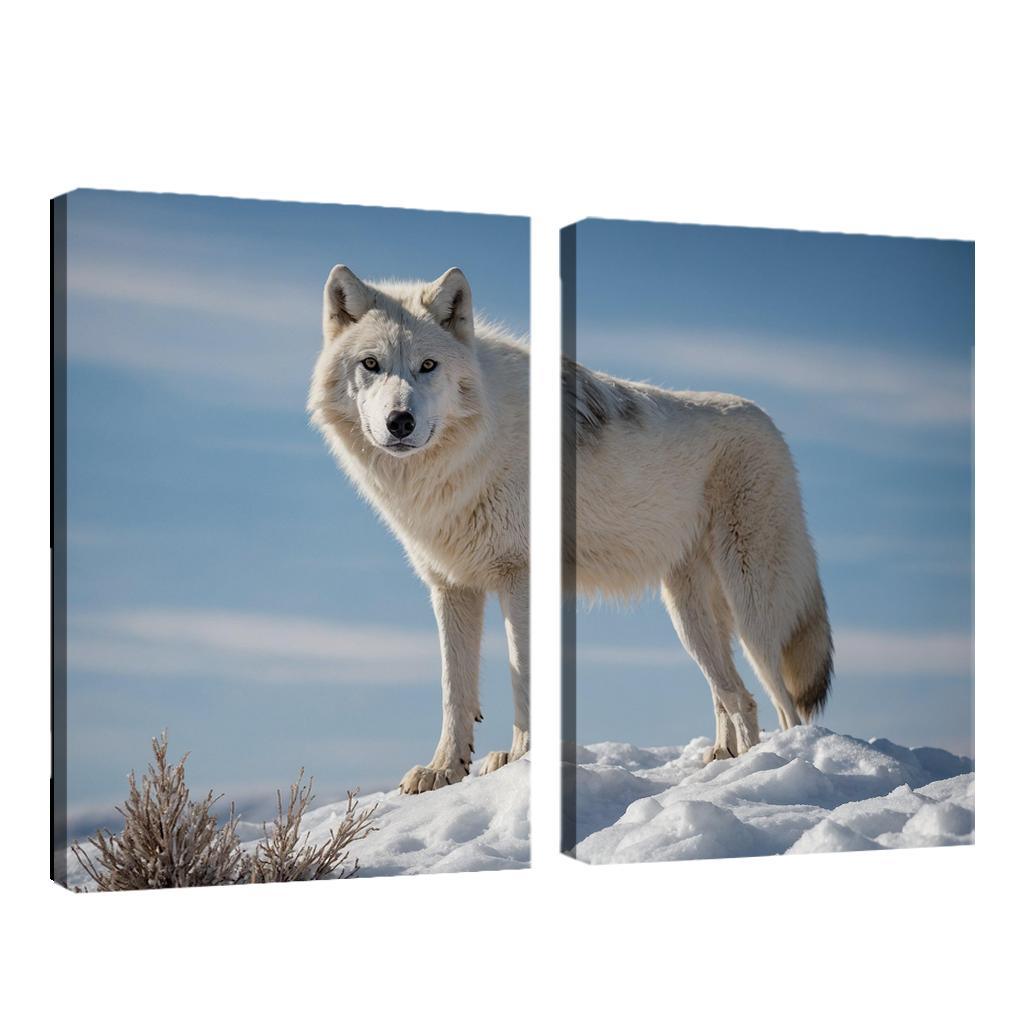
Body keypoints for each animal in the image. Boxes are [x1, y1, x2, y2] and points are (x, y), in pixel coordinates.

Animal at [308, 266, 529, 794]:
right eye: (371, 363)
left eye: (428, 365)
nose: (400, 421)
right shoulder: (451, 584)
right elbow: (455, 689)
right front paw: (445, 769)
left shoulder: (521, 574)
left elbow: (524, 675)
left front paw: (527, 759)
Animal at [566, 358, 833, 761]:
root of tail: (765, 416)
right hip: (689, 613)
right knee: (729, 692)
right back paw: (724, 755)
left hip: (749, 607)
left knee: (777, 704)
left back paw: (776, 757)